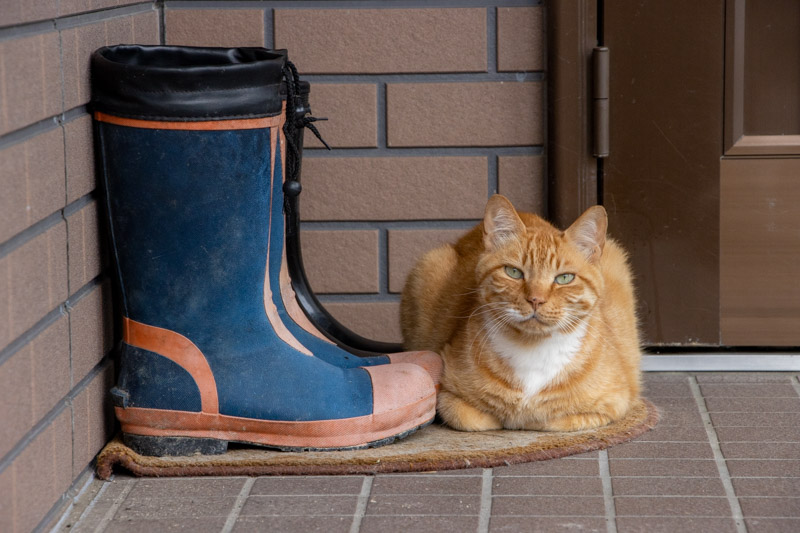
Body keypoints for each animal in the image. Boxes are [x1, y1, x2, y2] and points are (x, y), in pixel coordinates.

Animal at [404, 195, 640, 432]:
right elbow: (478, 419)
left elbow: (549, 417)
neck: (533, 348)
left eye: (564, 278)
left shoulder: (615, 403)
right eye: (514, 272)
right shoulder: (448, 397)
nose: (536, 299)